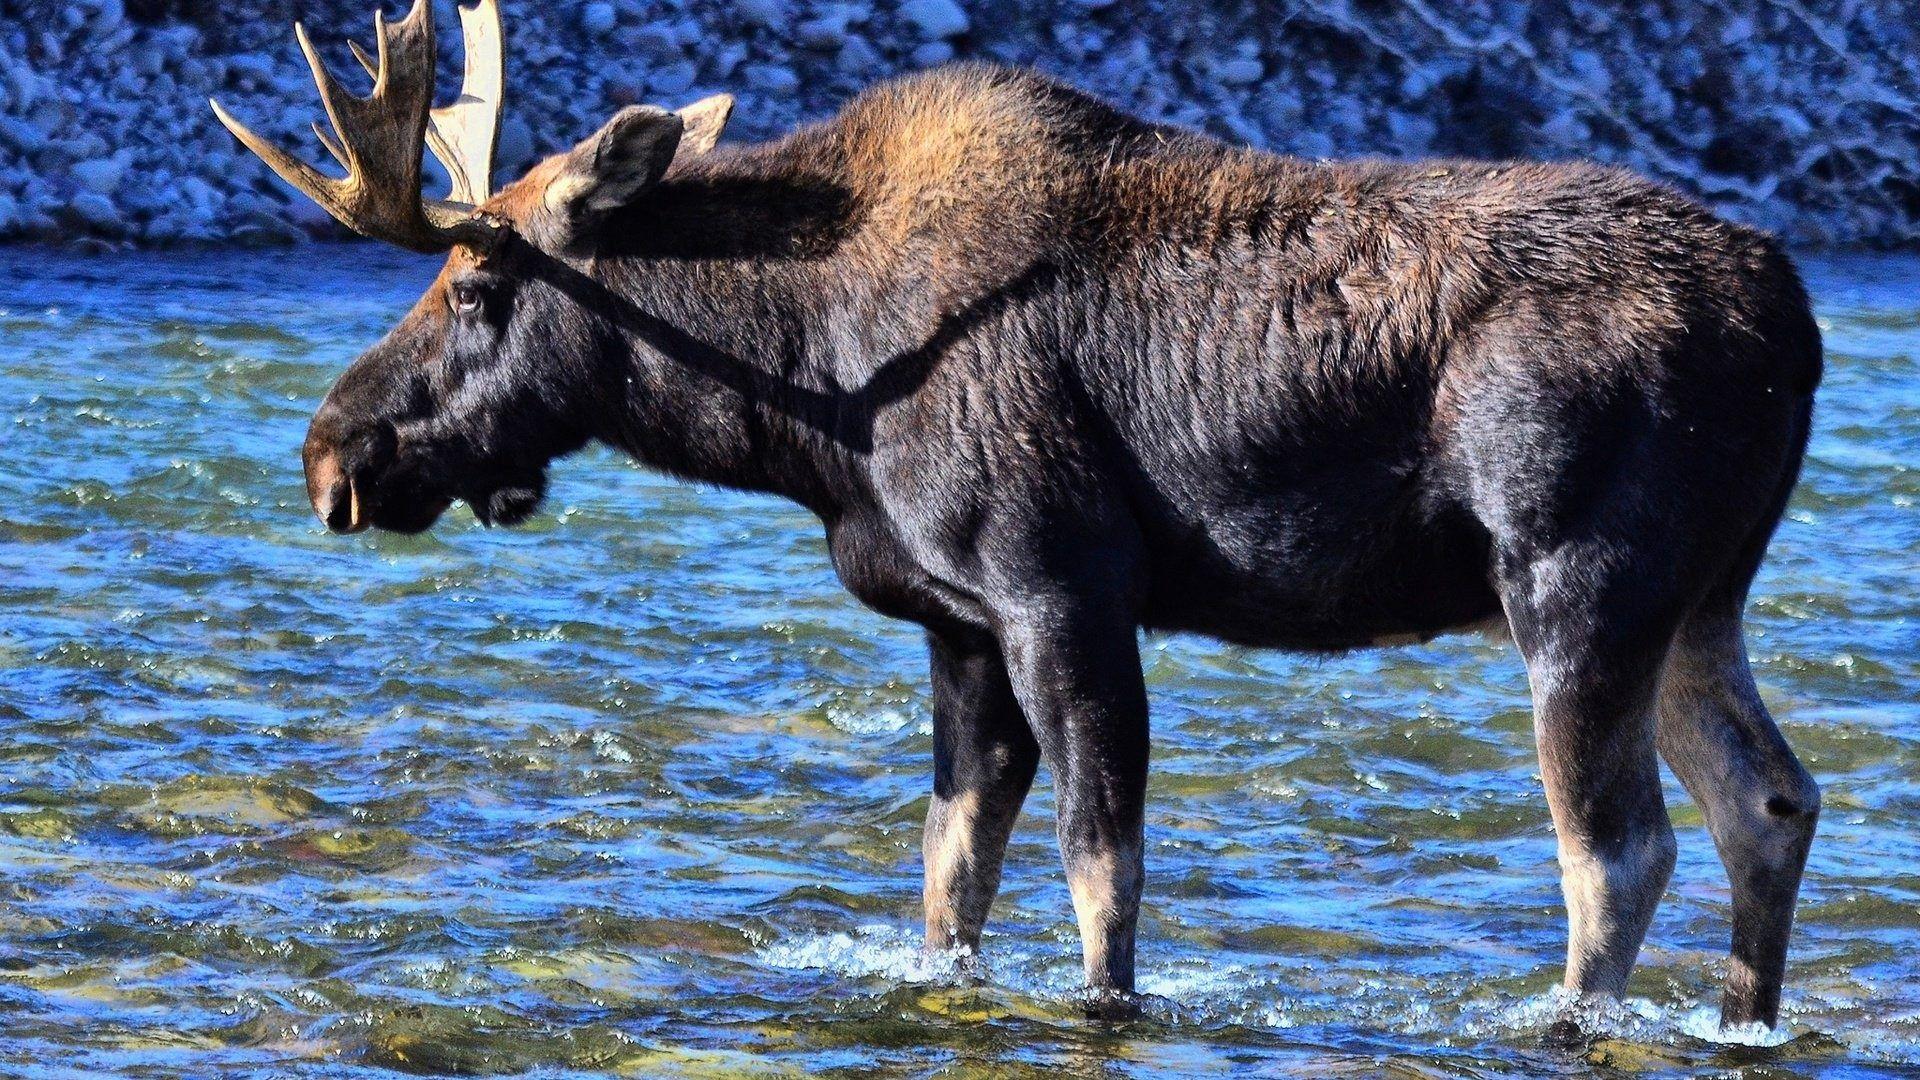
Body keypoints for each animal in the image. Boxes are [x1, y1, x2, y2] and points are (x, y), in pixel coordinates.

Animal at [217, 0, 1820, 1022]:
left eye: (477, 284)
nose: (331, 455)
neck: (805, 389)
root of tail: (1796, 325)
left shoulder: (1060, 585)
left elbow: (1100, 873)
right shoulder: (959, 624)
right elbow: (953, 879)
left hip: (1573, 581)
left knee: (1619, 850)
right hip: (1700, 600)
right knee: (1770, 800)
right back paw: (1742, 1021)